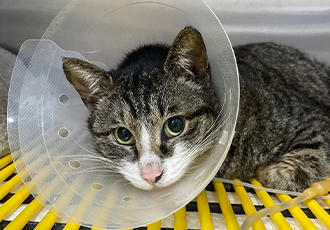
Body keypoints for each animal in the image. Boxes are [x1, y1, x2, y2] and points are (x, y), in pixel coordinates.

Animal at [62, 27, 330, 191]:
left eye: (175, 125)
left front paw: (264, 172)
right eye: (123, 135)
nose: (151, 175)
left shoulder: (316, 124)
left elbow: (296, 166)